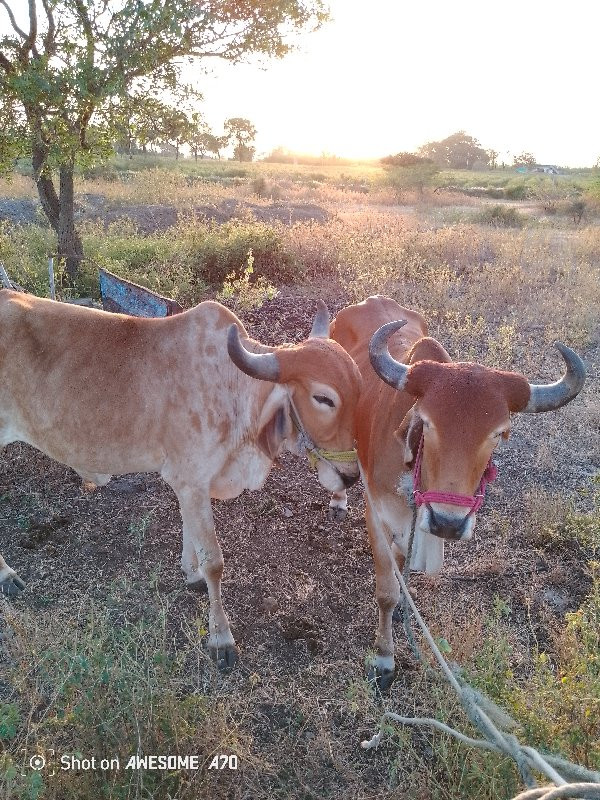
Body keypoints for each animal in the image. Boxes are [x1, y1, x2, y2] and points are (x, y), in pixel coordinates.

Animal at [0, 292, 360, 668]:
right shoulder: (191, 480)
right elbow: (214, 561)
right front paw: (221, 638)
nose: (350, 476)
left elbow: (192, 535)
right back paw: (7, 576)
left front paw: (191, 574)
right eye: (323, 398)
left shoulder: (190, 484)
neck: (232, 390)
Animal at [328, 294, 584, 688]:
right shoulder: (378, 514)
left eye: (498, 433)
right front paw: (384, 659)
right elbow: (386, 591)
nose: (448, 523)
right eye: (427, 422)